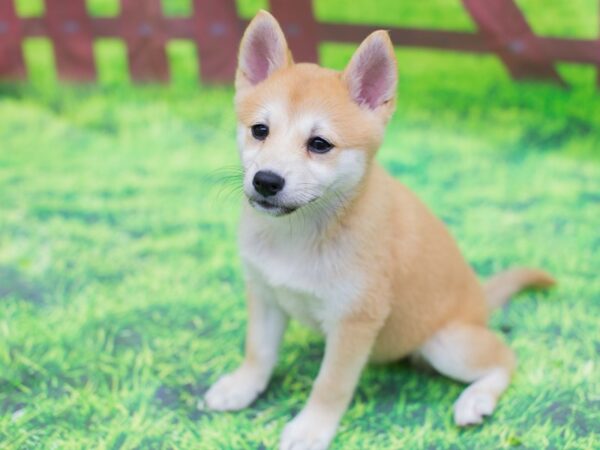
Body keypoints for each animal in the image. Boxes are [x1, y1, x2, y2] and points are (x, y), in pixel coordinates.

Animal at [204, 10, 556, 450]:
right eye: (259, 130)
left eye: (319, 144)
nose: (266, 181)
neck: (299, 236)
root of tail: (479, 297)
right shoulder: (266, 295)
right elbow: (258, 353)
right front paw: (241, 388)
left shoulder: (355, 321)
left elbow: (330, 384)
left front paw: (310, 429)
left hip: (447, 344)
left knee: (506, 358)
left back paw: (475, 400)